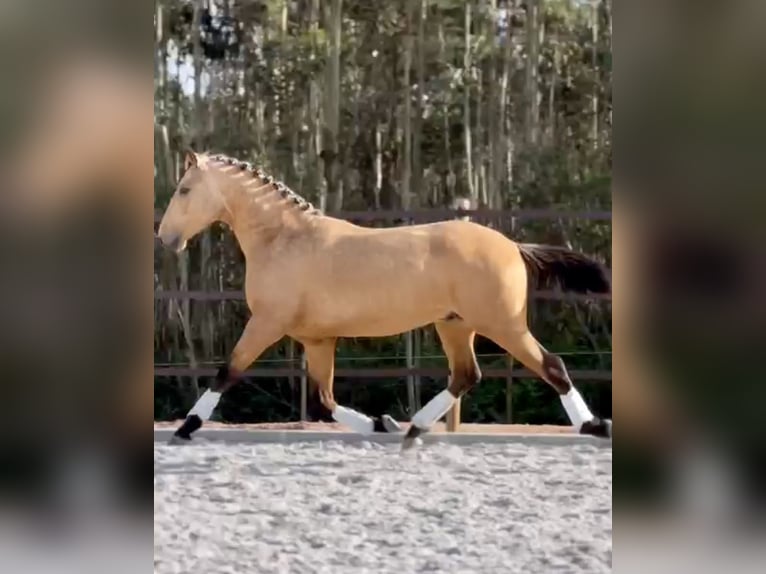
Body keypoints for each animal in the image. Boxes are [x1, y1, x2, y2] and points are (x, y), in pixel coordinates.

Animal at [159, 151, 616, 448]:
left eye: (184, 189)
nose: (165, 238)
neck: (285, 240)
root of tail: (514, 246)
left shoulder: (267, 323)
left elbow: (228, 372)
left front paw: (187, 426)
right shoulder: (316, 339)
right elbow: (324, 400)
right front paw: (381, 424)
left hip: (501, 324)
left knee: (552, 367)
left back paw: (594, 425)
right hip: (455, 324)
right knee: (466, 375)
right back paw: (414, 427)